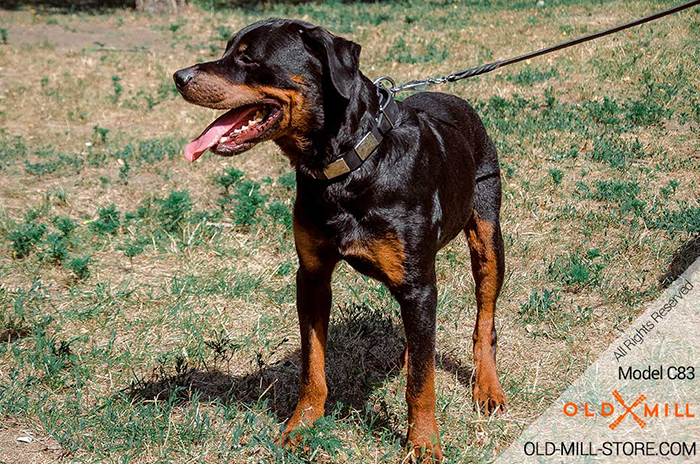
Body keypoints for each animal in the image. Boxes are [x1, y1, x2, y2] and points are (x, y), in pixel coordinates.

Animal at [174, 17, 504, 460]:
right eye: (228, 50)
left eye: (247, 57)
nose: (179, 77)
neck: (347, 165)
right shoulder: (312, 276)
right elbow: (312, 366)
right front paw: (301, 426)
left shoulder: (418, 283)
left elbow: (421, 384)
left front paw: (423, 443)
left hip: (487, 234)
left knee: (484, 319)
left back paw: (487, 386)